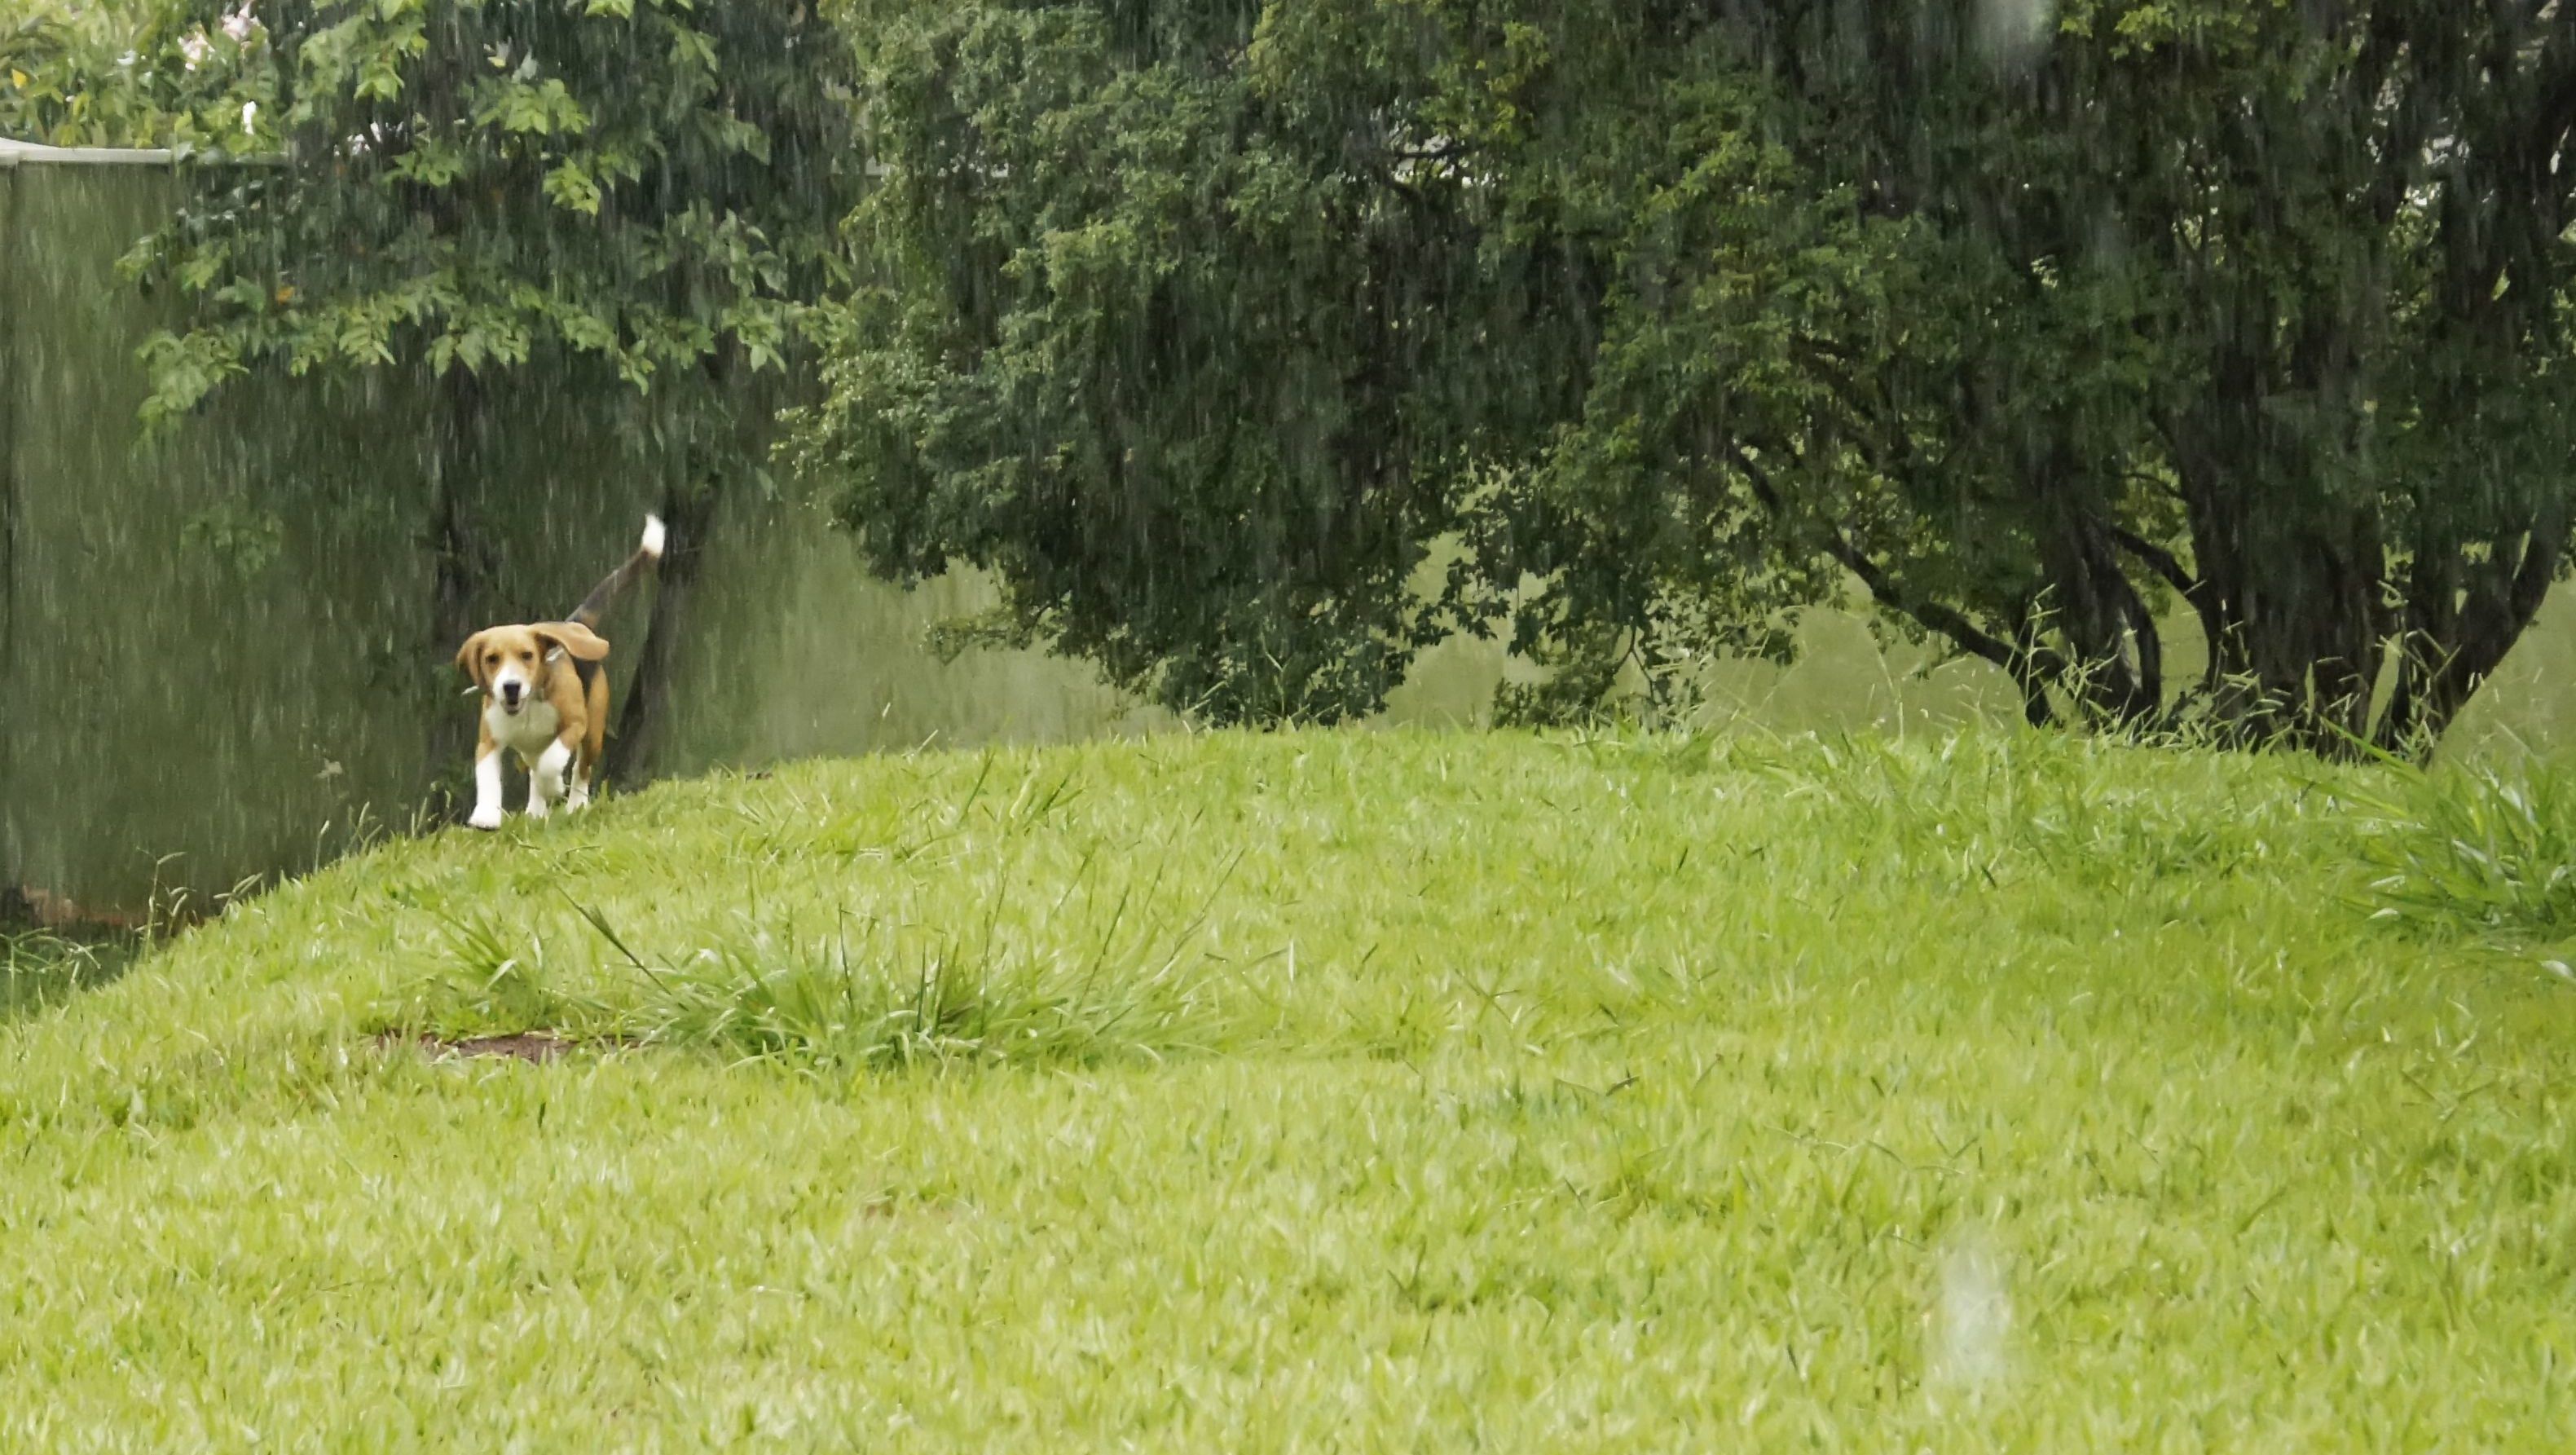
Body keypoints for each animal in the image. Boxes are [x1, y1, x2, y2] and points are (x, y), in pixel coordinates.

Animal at [458, 512, 669, 829]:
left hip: (593, 732)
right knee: (534, 770)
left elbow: (552, 762)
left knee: (580, 769)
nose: (510, 686)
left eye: (527, 655)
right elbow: (488, 777)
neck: (530, 704)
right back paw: (536, 811)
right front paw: (486, 815)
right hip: (528, 747)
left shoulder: (575, 724)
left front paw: (555, 786)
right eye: (492, 659)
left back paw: (575, 805)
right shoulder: (489, 741)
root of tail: (575, 624)